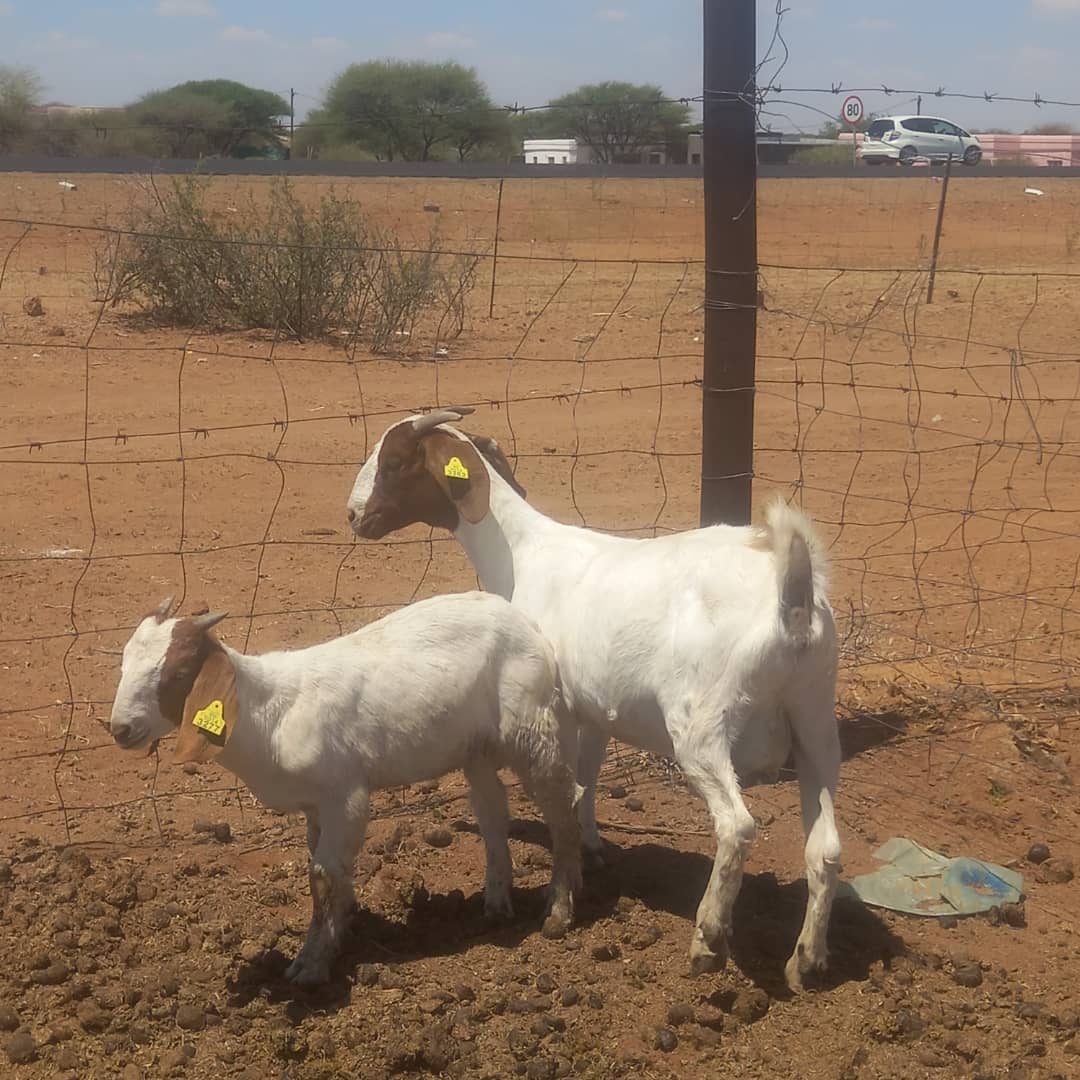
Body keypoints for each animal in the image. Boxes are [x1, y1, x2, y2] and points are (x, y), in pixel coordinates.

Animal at [107, 591, 583, 989]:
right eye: (124, 663)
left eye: (178, 671)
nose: (120, 729)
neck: (269, 715)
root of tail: (523, 620)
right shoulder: (315, 806)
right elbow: (324, 875)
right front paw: (331, 936)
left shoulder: (345, 795)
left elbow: (323, 876)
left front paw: (313, 967)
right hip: (476, 747)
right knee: (492, 811)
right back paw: (497, 903)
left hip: (531, 728)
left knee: (562, 803)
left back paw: (559, 910)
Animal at [345, 408, 842, 989]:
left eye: (396, 461)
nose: (354, 515)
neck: (521, 556)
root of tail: (793, 598)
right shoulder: (596, 706)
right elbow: (588, 776)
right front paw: (591, 847)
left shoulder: (550, 705)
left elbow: (564, 787)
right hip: (815, 720)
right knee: (826, 848)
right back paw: (807, 957)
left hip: (703, 723)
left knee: (737, 825)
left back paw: (707, 939)